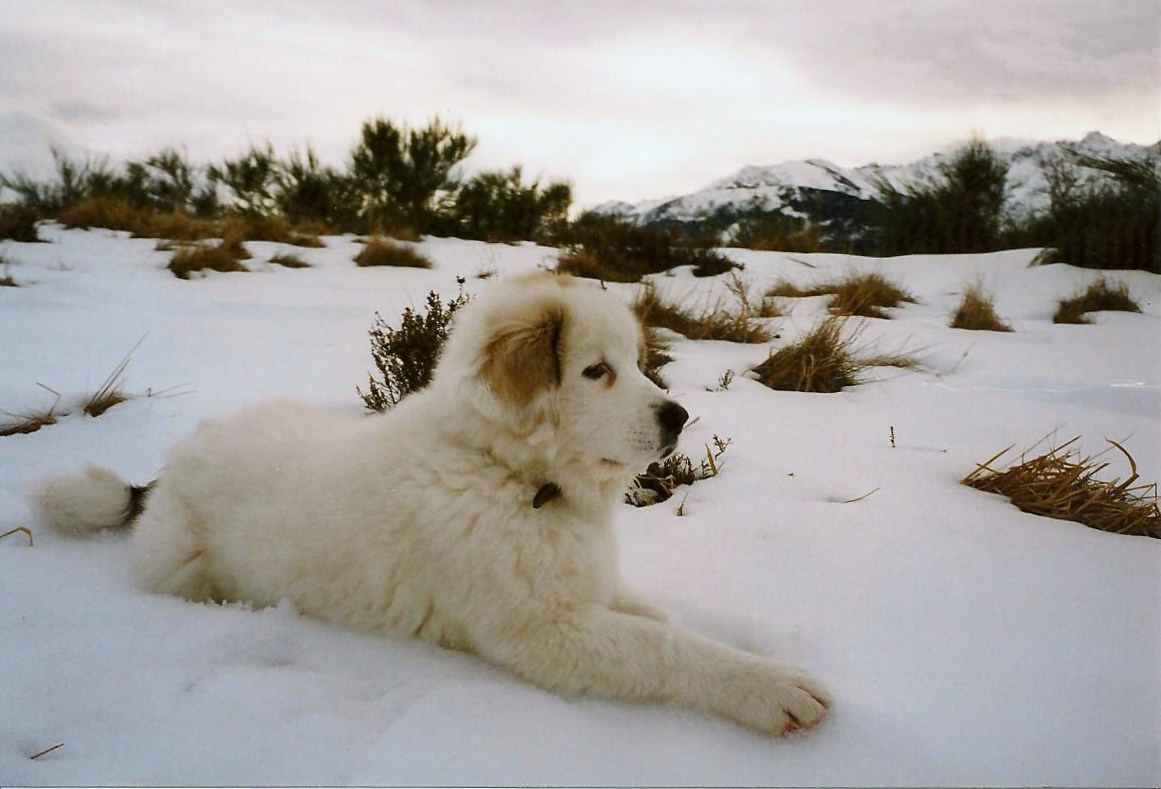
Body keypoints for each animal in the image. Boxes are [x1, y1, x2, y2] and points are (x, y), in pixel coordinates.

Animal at [31, 273, 831, 737]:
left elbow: (665, 623)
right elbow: (661, 647)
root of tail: (174, 461)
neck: (509, 473)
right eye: (595, 371)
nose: (678, 417)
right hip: (180, 569)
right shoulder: (543, 632)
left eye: (633, 362)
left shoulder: (586, 590)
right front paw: (770, 688)